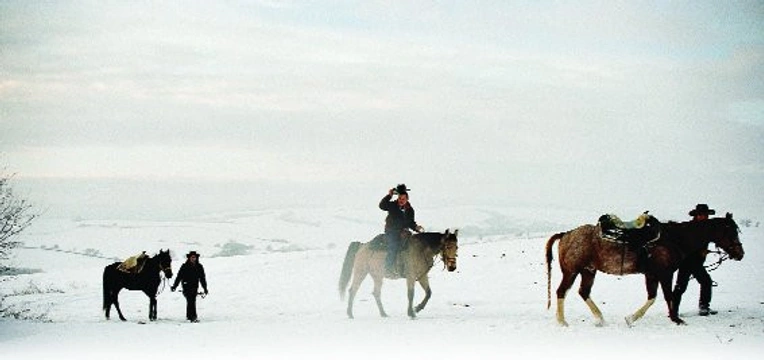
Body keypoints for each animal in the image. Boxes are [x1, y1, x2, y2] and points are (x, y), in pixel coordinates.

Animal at [548, 212, 744, 328]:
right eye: (732, 232)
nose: (740, 254)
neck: (675, 238)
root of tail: (566, 234)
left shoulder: (652, 275)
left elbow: (652, 297)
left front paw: (631, 319)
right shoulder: (665, 274)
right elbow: (668, 296)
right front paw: (676, 319)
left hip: (588, 271)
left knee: (583, 292)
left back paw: (599, 319)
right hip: (571, 272)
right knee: (561, 291)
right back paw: (562, 321)